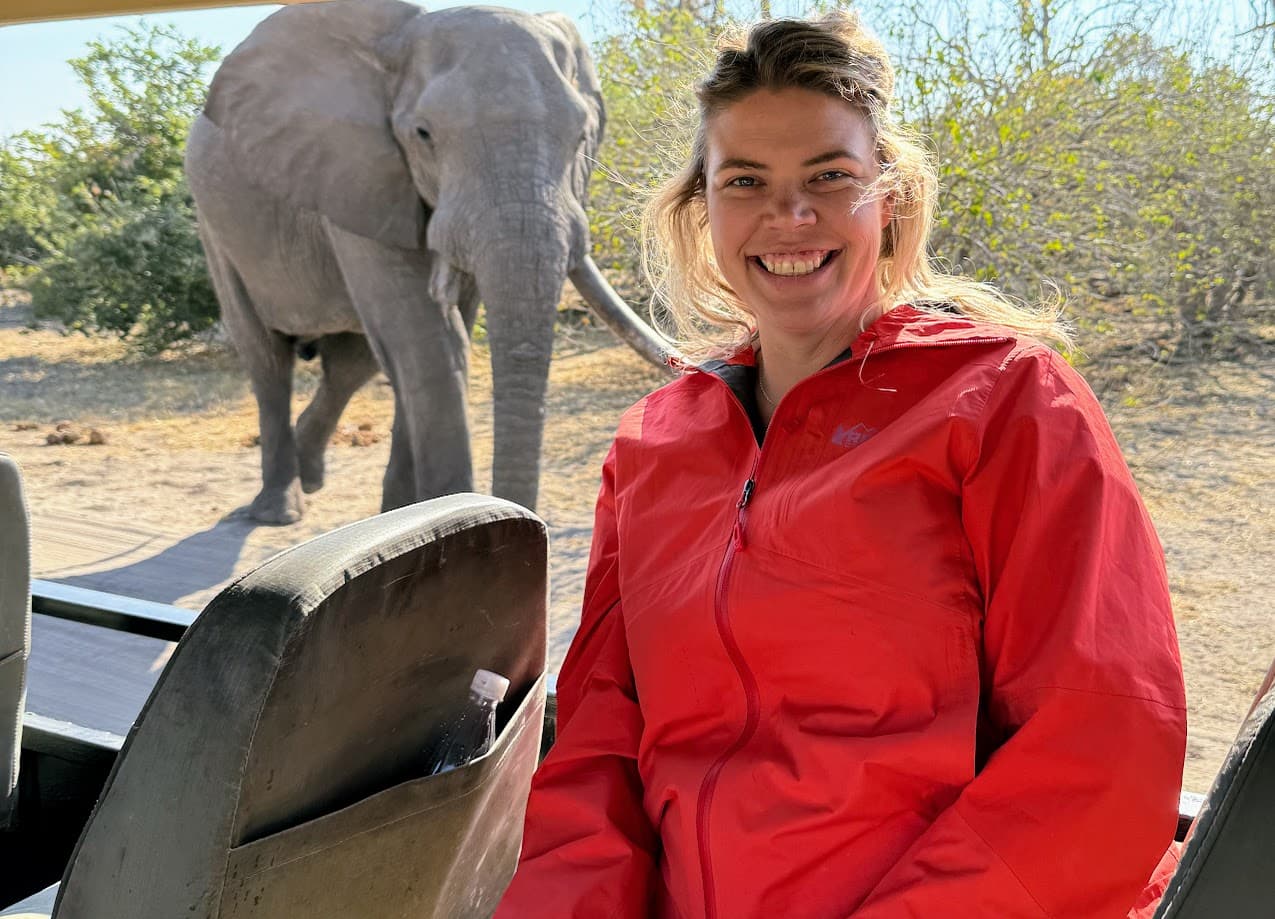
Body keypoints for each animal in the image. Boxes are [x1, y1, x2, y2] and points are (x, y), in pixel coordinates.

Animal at [186, 0, 675, 524]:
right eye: (423, 135)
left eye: (582, 137)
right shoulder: (358, 174)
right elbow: (431, 344)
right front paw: (447, 518)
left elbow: (437, 335)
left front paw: (408, 515)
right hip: (215, 226)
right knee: (267, 356)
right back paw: (279, 510)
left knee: (353, 363)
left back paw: (315, 478)